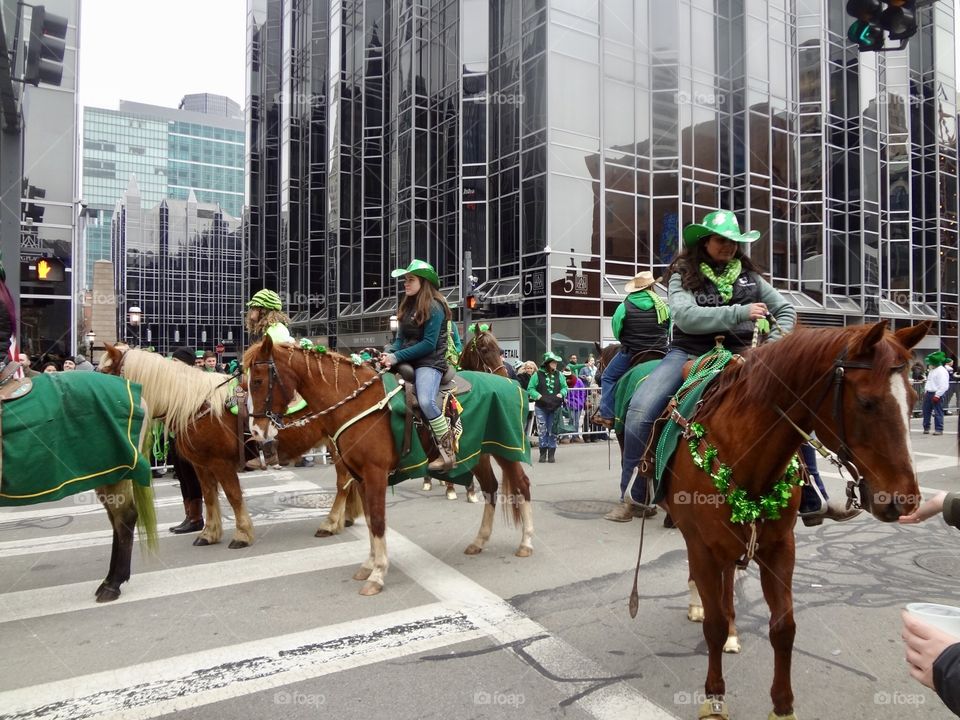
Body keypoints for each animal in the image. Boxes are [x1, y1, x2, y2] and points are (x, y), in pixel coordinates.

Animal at [97, 348, 362, 544]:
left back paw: (331, 522)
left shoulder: (221, 463)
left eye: (106, 371)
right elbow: (209, 497)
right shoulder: (201, 466)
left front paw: (242, 534)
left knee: (343, 482)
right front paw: (209, 534)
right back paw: (346, 518)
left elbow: (233, 496)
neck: (195, 405)